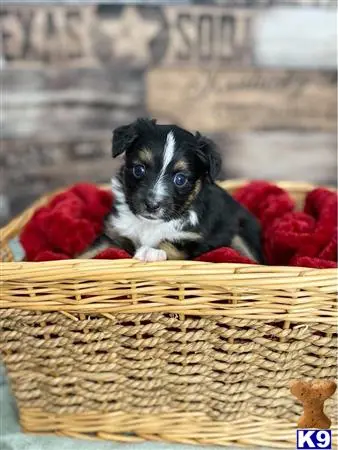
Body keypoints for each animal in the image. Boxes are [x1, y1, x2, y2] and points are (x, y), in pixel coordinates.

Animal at [92, 118, 264, 262]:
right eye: (139, 170)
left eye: (180, 179)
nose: (152, 205)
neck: (151, 224)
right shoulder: (114, 232)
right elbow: (93, 251)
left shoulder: (197, 241)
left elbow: (170, 245)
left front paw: (150, 252)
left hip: (241, 234)